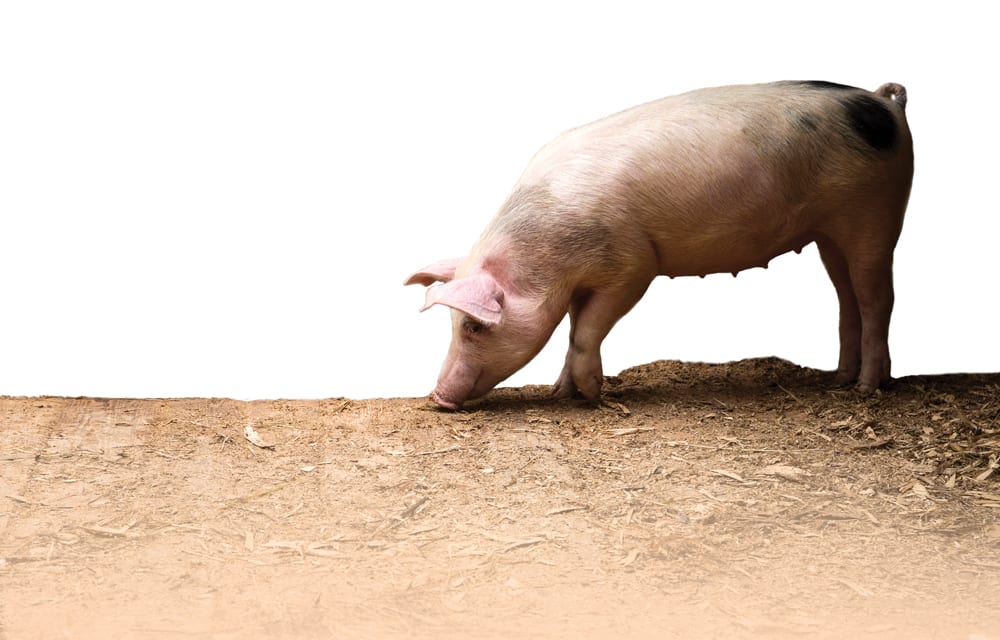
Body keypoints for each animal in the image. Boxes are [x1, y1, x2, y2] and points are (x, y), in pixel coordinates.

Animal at [406, 81, 913, 410]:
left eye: (472, 327)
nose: (437, 398)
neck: (547, 261)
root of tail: (881, 102)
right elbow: (571, 330)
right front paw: (560, 393)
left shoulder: (631, 266)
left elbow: (585, 331)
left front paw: (593, 397)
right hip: (829, 233)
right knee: (846, 298)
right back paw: (839, 381)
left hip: (875, 213)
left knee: (877, 299)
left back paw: (867, 390)